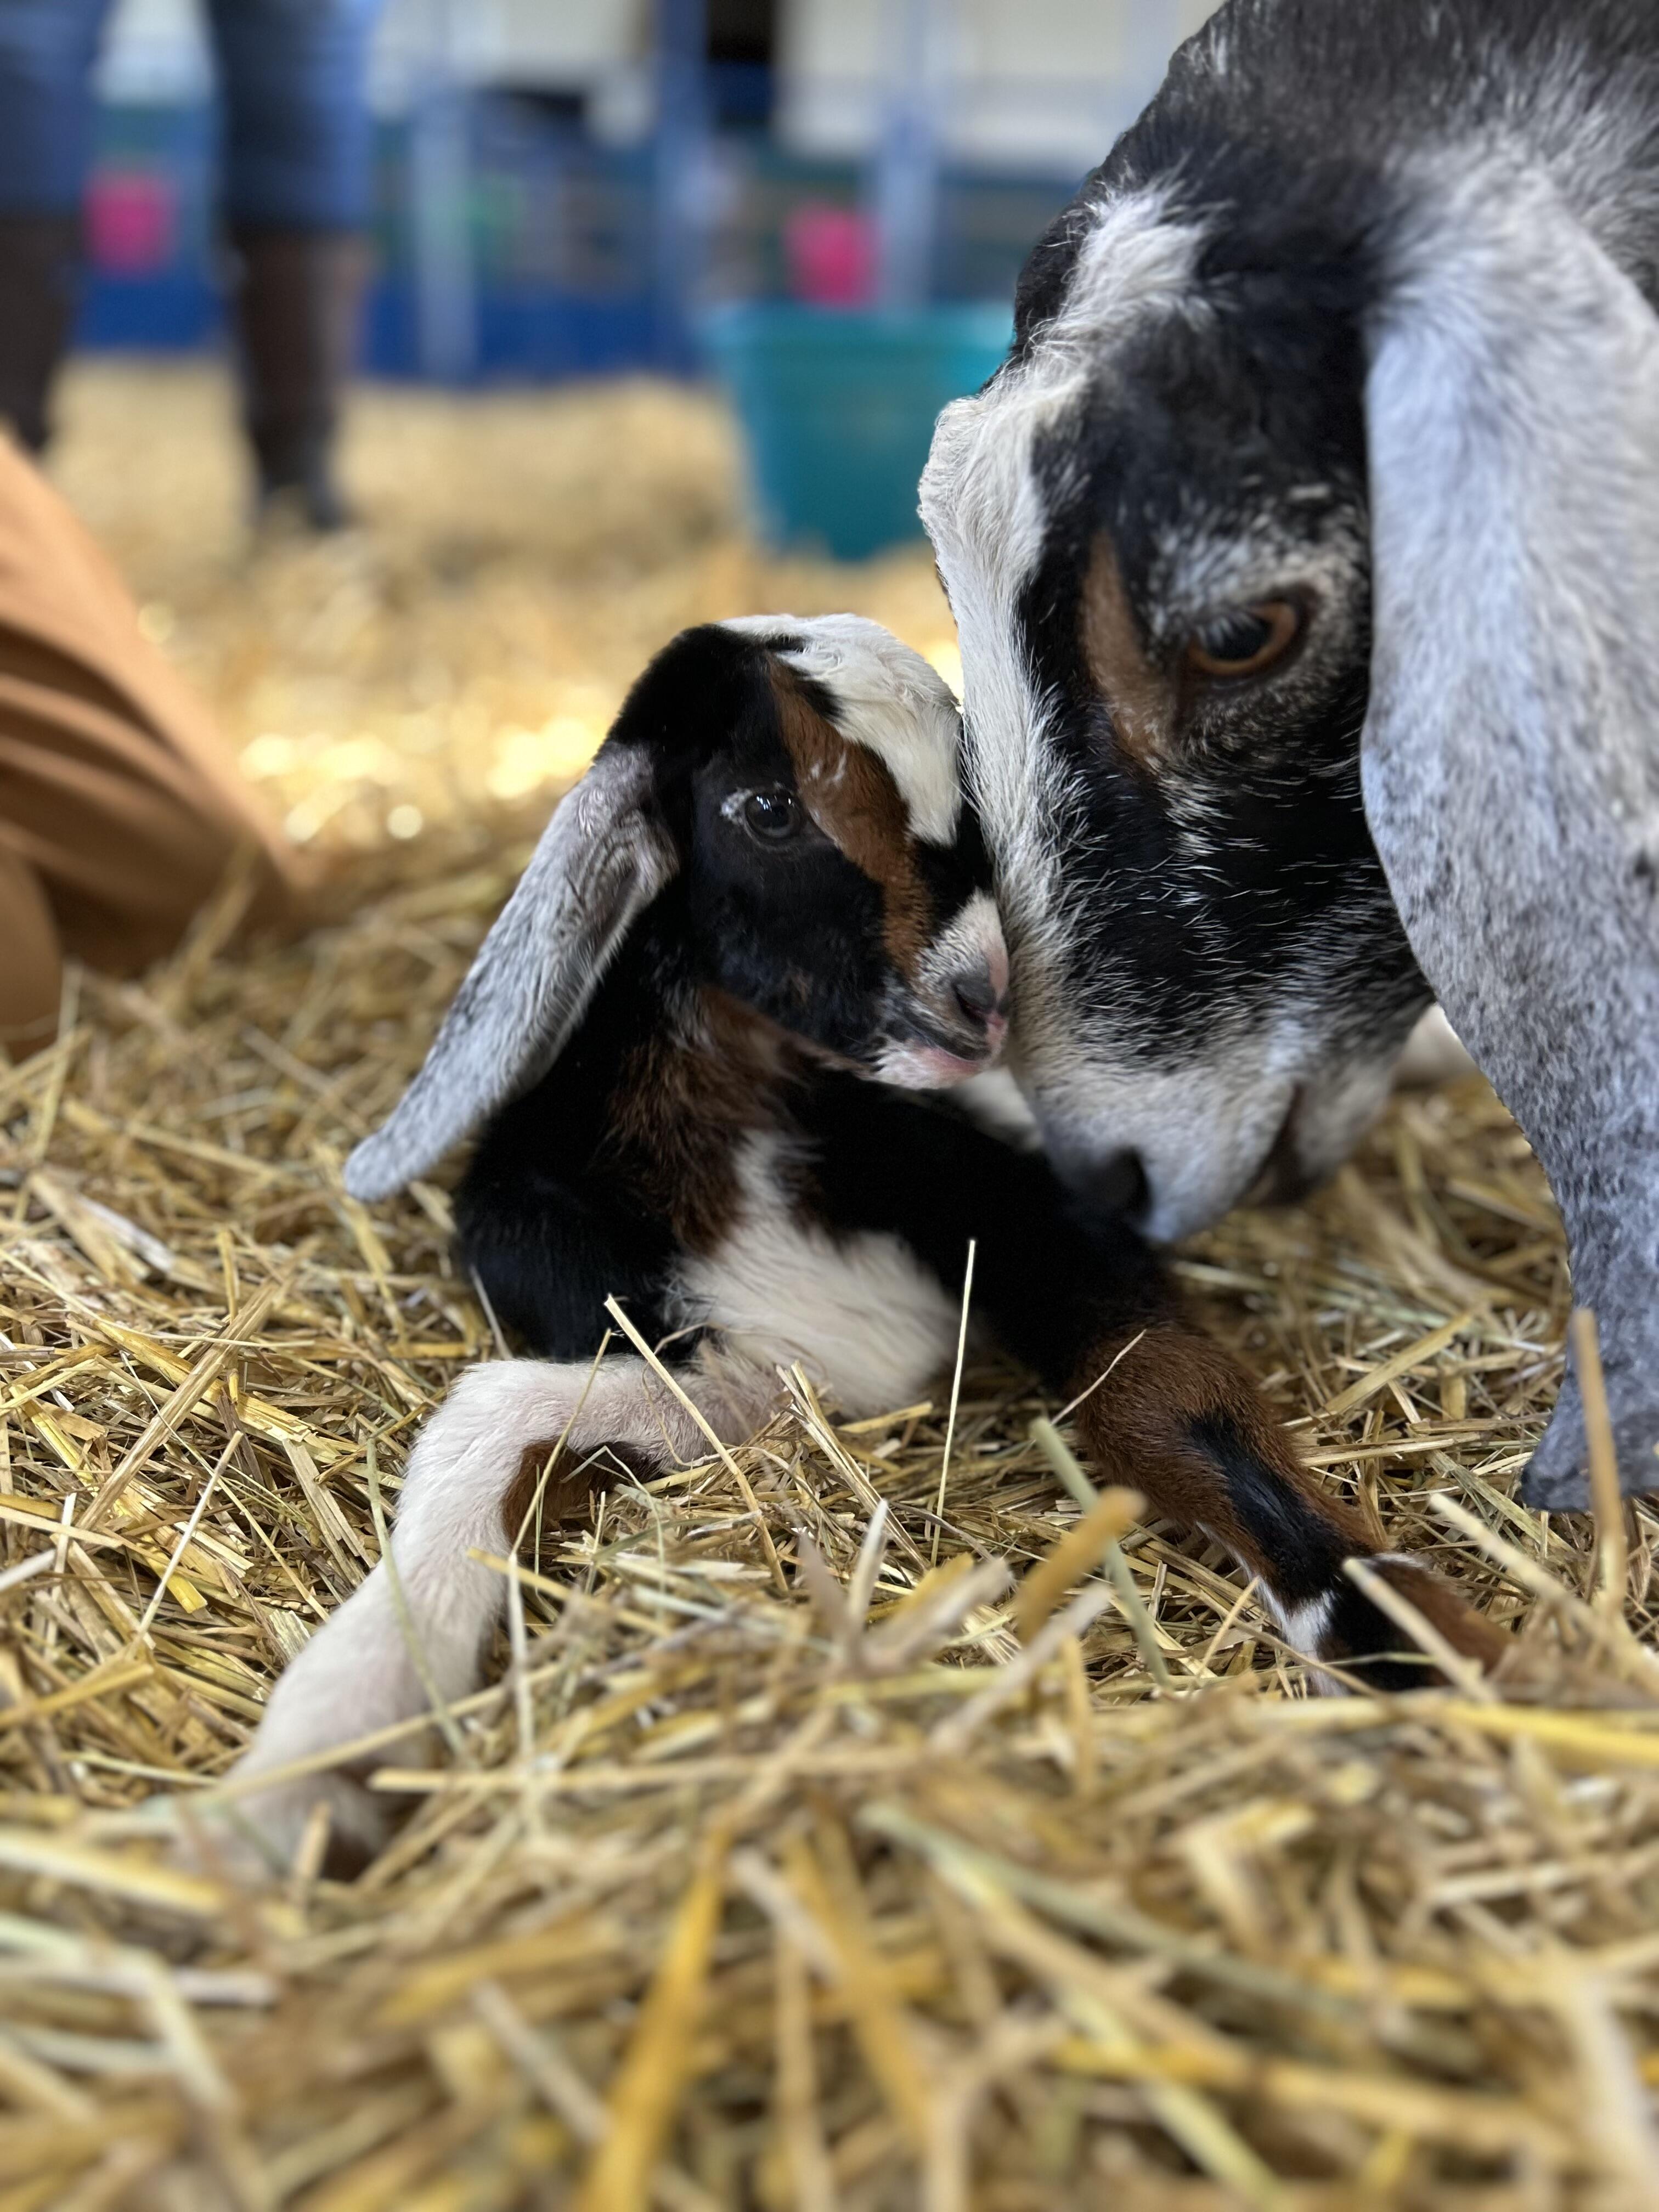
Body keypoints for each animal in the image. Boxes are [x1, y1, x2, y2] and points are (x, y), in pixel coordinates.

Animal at [213, 617, 1500, 1875]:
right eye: (765, 808)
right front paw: (321, 1759)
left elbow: (1165, 1394)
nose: (983, 999)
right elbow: (488, 1417)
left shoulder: (1042, 1219)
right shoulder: (736, 1359)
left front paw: (1401, 1631)